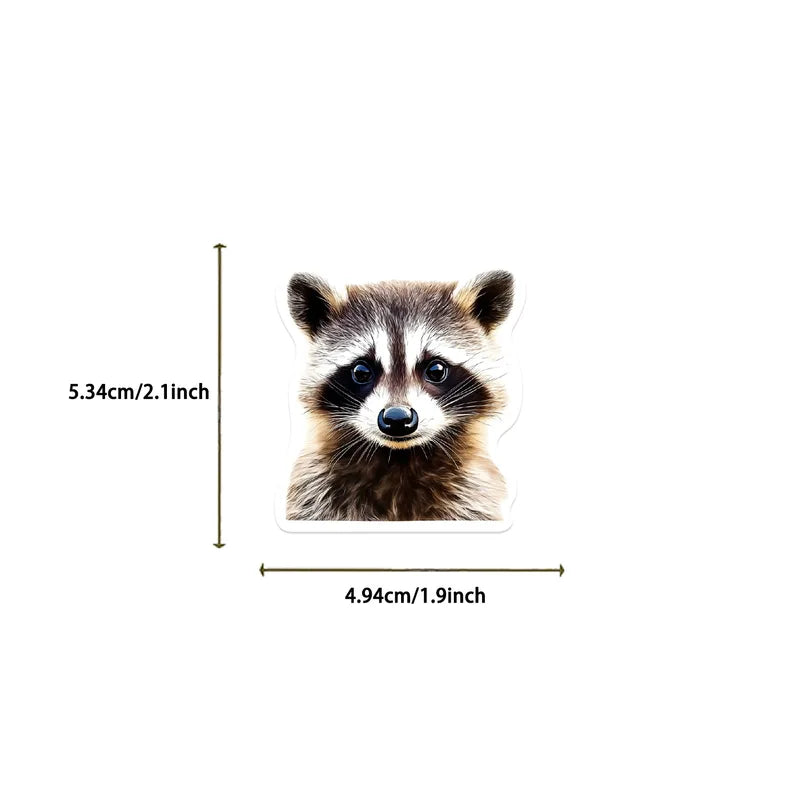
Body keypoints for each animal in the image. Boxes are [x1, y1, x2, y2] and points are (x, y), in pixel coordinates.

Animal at [285, 271, 514, 521]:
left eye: (436, 370)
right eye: (361, 371)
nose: (397, 418)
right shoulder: (315, 490)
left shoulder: (472, 494)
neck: (398, 458)